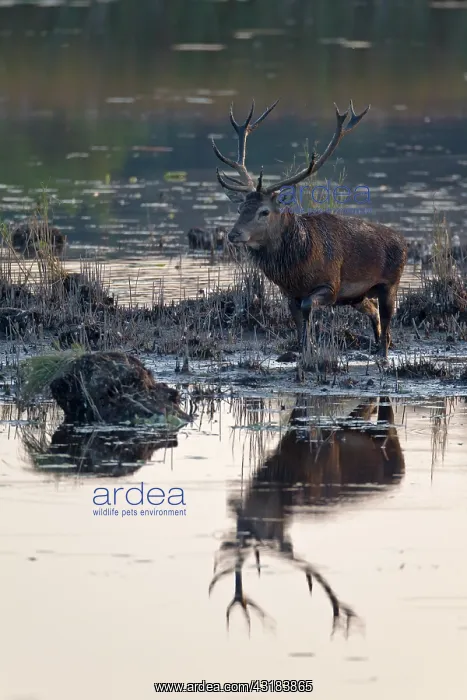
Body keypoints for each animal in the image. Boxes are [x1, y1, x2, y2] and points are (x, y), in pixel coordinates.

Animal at [209, 396, 405, 635]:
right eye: (243, 524)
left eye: (268, 525)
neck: (286, 468)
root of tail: (402, 474)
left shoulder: (324, 445)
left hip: (389, 434)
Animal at [212, 99, 408, 359]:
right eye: (240, 208)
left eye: (264, 211)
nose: (234, 234)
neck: (297, 267)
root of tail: (404, 242)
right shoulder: (289, 292)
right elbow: (297, 320)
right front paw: (304, 349)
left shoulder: (331, 285)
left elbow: (307, 309)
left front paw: (312, 346)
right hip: (357, 296)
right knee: (373, 311)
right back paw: (376, 345)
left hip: (390, 283)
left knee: (386, 320)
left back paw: (383, 353)